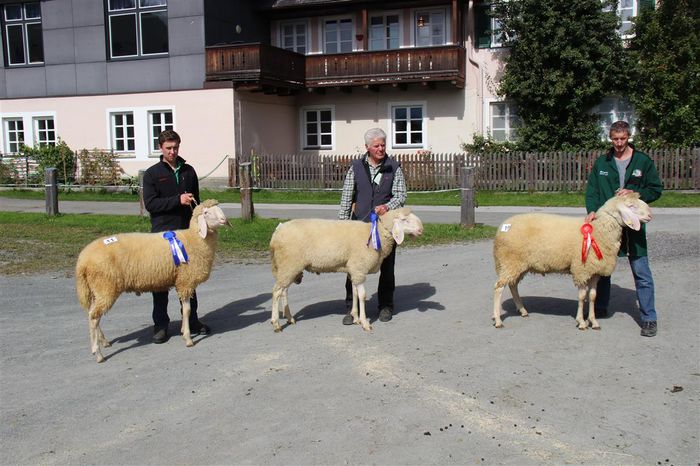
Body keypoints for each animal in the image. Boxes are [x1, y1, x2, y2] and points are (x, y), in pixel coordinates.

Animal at [76, 198, 230, 362]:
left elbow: (185, 309)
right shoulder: (185, 282)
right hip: (105, 287)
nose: (224, 220)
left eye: (219, 208)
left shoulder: (182, 282)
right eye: (206, 212)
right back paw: (98, 353)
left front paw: (183, 330)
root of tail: (82, 260)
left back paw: (104, 341)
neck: (194, 239)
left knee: (92, 314)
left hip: (96, 289)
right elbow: (187, 310)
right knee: (93, 317)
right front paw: (188, 339)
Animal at [268, 207, 422, 332]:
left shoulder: (353, 269)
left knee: (284, 291)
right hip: (289, 264)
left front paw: (355, 317)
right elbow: (362, 295)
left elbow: (354, 293)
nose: (421, 230)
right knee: (276, 292)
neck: (375, 233)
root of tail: (277, 232)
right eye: (404, 220)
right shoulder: (359, 268)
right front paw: (365, 323)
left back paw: (289, 318)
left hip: (288, 267)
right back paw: (276, 323)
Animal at [492, 193, 652, 332]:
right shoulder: (581, 269)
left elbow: (592, 296)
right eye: (631, 206)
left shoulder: (594, 272)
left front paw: (593, 321)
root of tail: (502, 227)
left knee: (513, 285)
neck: (599, 230)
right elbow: (581, 297)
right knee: (498, 288)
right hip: (509, 261)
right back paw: (498, 319)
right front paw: (581, 322)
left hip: (518, 265)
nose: (650, 215)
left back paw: (522, 310)